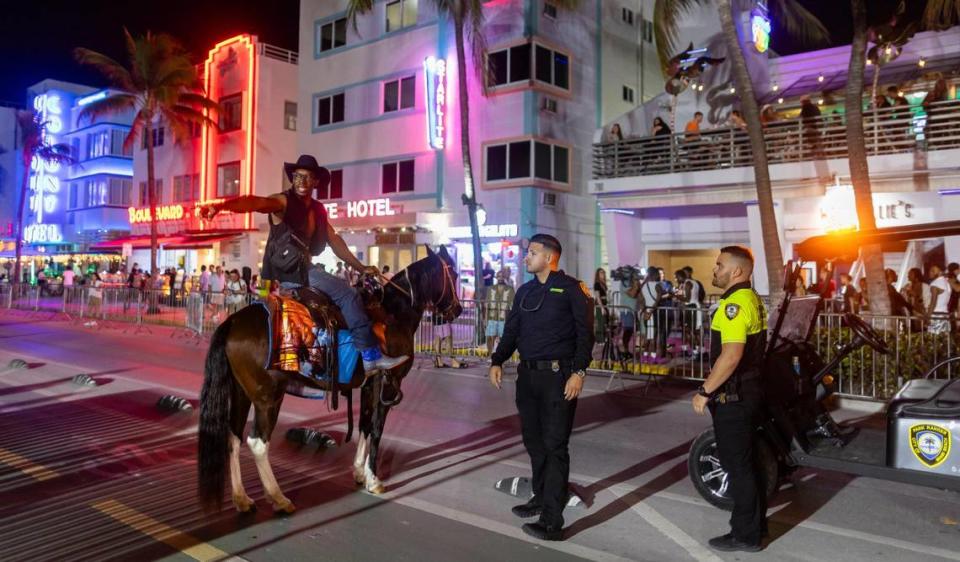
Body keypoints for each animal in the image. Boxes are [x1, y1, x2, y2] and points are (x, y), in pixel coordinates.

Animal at [197, 243, 464, 510]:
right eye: (453, 273)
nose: (457, 309)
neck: (394, 314)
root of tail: (232, 321)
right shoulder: (389, 383)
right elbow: (377, 429)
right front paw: (373, 479)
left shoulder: (369, 385)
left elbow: (365, 425)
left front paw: (358, 471)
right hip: (268, 396)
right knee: (258, 442)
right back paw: (278, 497)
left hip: (241, 392)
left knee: (233, 437)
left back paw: (241, 497)